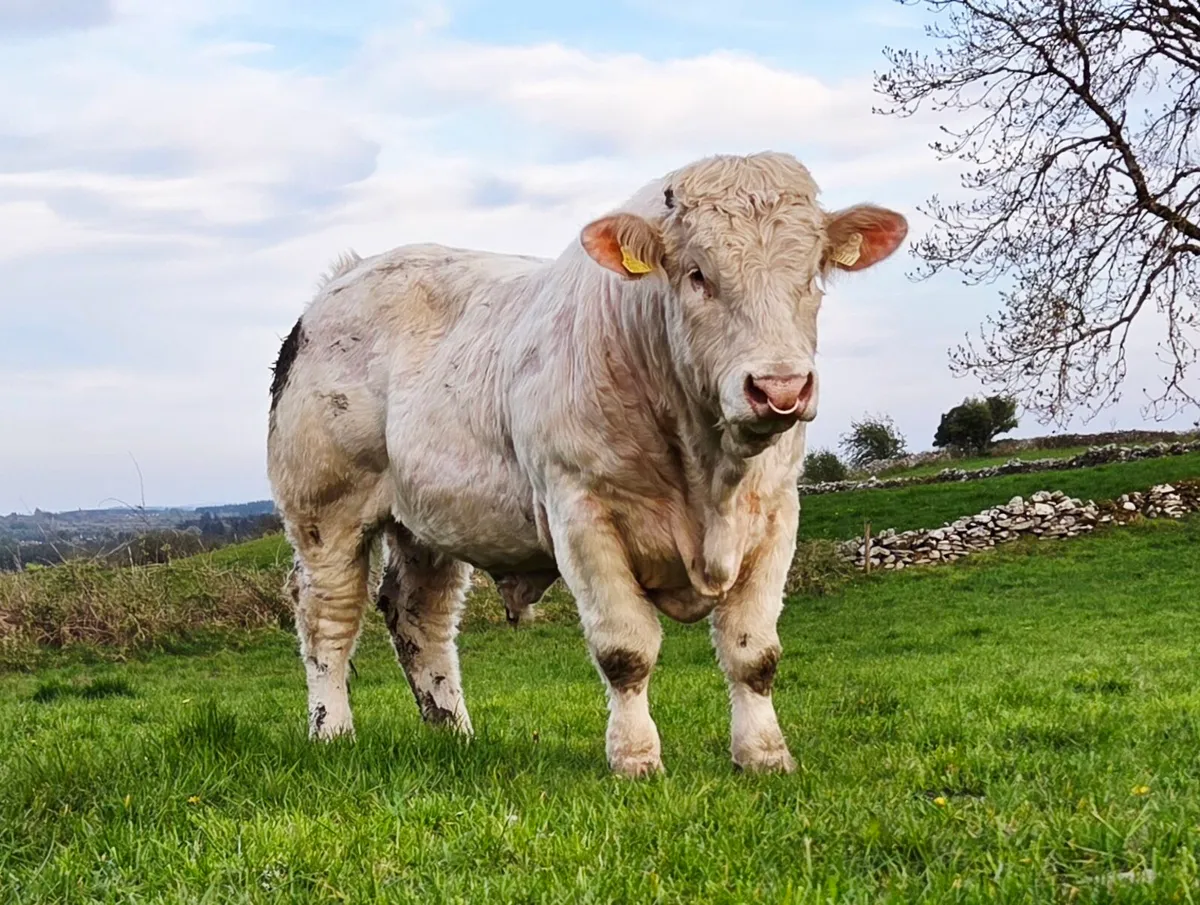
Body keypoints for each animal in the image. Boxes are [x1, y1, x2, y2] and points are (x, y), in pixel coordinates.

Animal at [266, 151, 907, 776]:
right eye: (698, 274)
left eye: (812, 276)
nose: (780, 388)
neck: (706, 474)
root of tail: (342, 278)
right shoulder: (582, 512)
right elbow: (625, 650)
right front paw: (635, 759)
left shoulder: (776, 513)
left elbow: (755, 654)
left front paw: (765, 756)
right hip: (326, 509)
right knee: (328, 617)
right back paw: (333, 733)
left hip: (427, 523)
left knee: (419, 616)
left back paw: (454, 734)